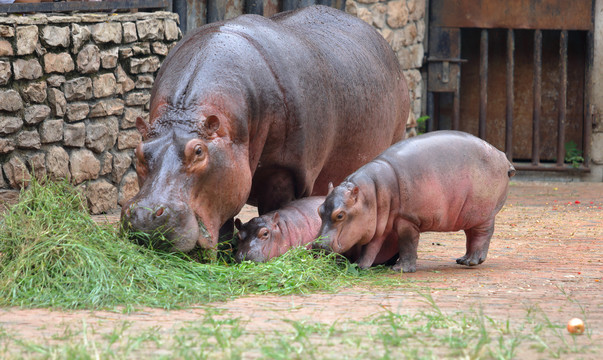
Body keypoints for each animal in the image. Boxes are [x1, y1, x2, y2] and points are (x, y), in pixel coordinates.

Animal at [314, 130, 516, 272]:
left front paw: (400, 269)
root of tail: (503, 157)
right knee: (471, 234)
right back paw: (463, 260)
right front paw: (359, 266)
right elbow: (370, 247)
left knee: (482, 234)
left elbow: (407, 244)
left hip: (482, 212)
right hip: (468, 214)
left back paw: (472, 261)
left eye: (340, 215)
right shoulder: (378, 225)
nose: (316, 245)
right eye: (319, 210)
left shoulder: (407, 219)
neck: (371, 193)